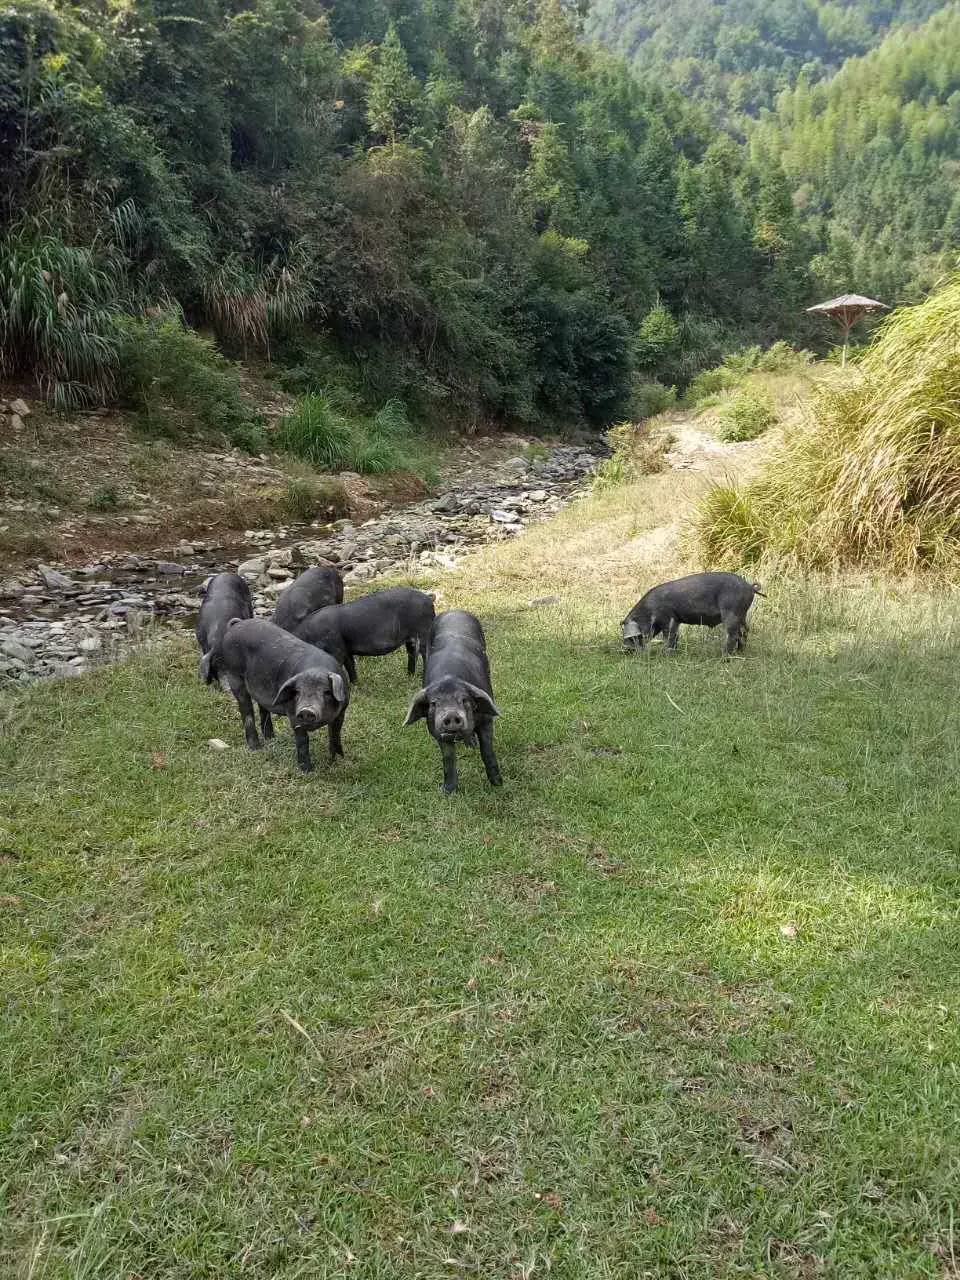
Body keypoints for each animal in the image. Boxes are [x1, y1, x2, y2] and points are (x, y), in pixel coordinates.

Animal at [203, 616, 350, 768]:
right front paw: (307, 770)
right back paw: (256, 748)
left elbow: (335, 735)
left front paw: (337, 761)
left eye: (326, 691)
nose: (306, 710)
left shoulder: (342, 711)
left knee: (262, 708)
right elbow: (302, 741)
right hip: (234, 676)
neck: (315, 668)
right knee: (247, 711)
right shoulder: (293, 714)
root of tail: (236, 625)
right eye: (298, 692)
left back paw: (270, 738)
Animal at [295, 586, 437, 686]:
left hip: (424, 631)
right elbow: (350, 666)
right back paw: (409, 676)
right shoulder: (346, 649)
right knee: (412, 653)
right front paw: (355, 684)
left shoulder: (336, 648)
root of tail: (429, 598)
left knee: (426, 654)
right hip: (411, 638)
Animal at [404, 606, 504, 793]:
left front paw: (498, 784)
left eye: (464, 699)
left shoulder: (487, 720)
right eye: (434, 703)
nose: (450, 714)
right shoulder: (435, 731)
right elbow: (448, 759)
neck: (449, 676)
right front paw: (446, 791)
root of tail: (455, 610)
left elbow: (487, 751)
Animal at [624, 570, 768, 655]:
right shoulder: (676, 619)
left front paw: (665, 654)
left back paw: (724, 656)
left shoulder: (667, 618)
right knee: (745, 631)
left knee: (733, 634)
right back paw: (739, 652)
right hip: (742, 614)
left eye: (632, 637)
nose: (626, 650)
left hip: (731, 611)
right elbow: (675, 636)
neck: (649, 612)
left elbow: (668, 636)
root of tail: (749, 586)